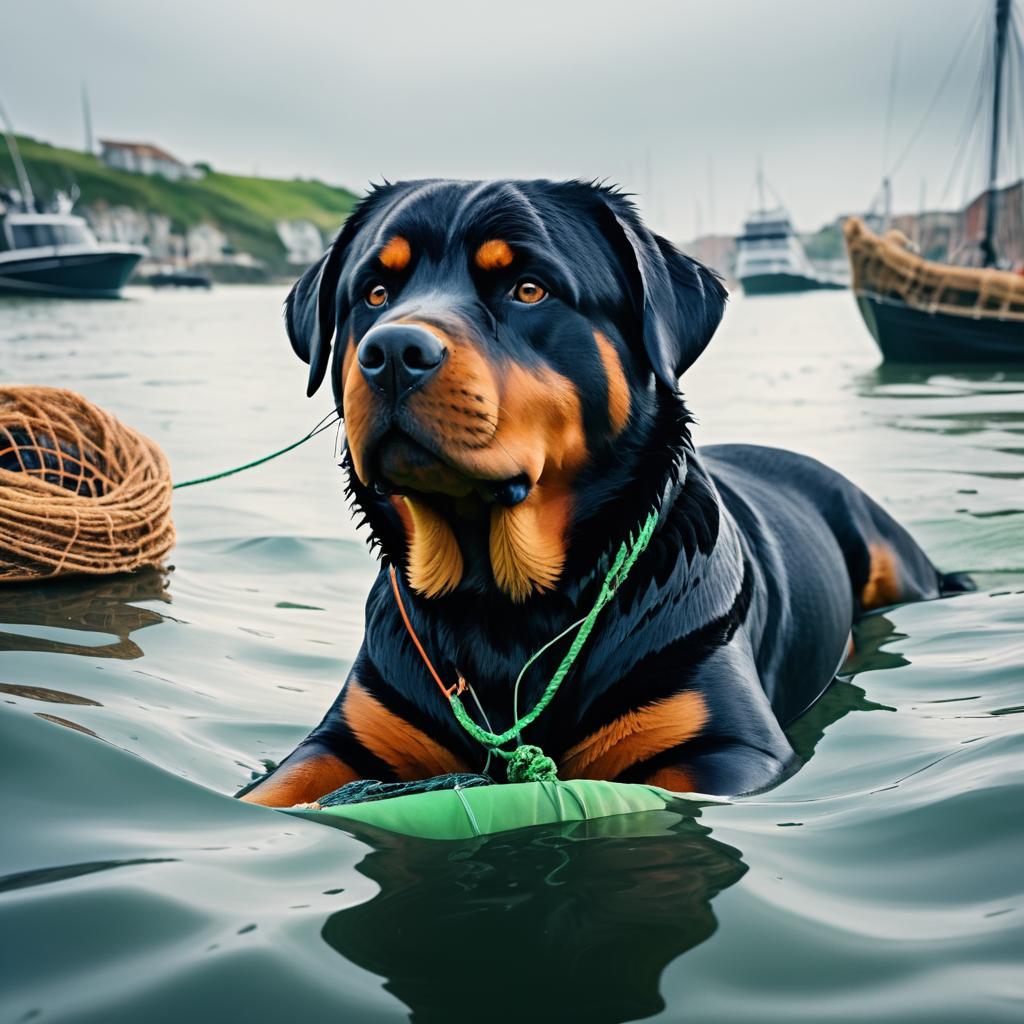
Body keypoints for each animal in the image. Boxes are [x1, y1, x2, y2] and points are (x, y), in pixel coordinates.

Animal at [239, 182, 966, 806]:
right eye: (375, 292)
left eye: (529, 289)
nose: (392, 350)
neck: (502, 610)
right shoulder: (347, 736)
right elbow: (270, 792)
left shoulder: (725, 747)